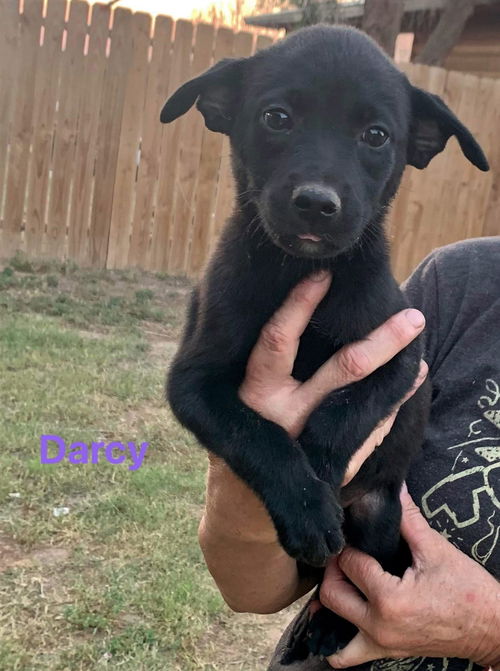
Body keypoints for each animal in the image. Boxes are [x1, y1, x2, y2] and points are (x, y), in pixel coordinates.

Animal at [161, 25, 488, 660]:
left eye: (376, 135)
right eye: (277, 118)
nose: (316, 203)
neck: (302, 269)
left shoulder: (400, 358)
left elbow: (342, 413)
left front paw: (318, 474)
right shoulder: (193, 381)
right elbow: (257, 434)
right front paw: (307, 504)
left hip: (379, 516)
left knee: (359, 573)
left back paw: (332, 625)